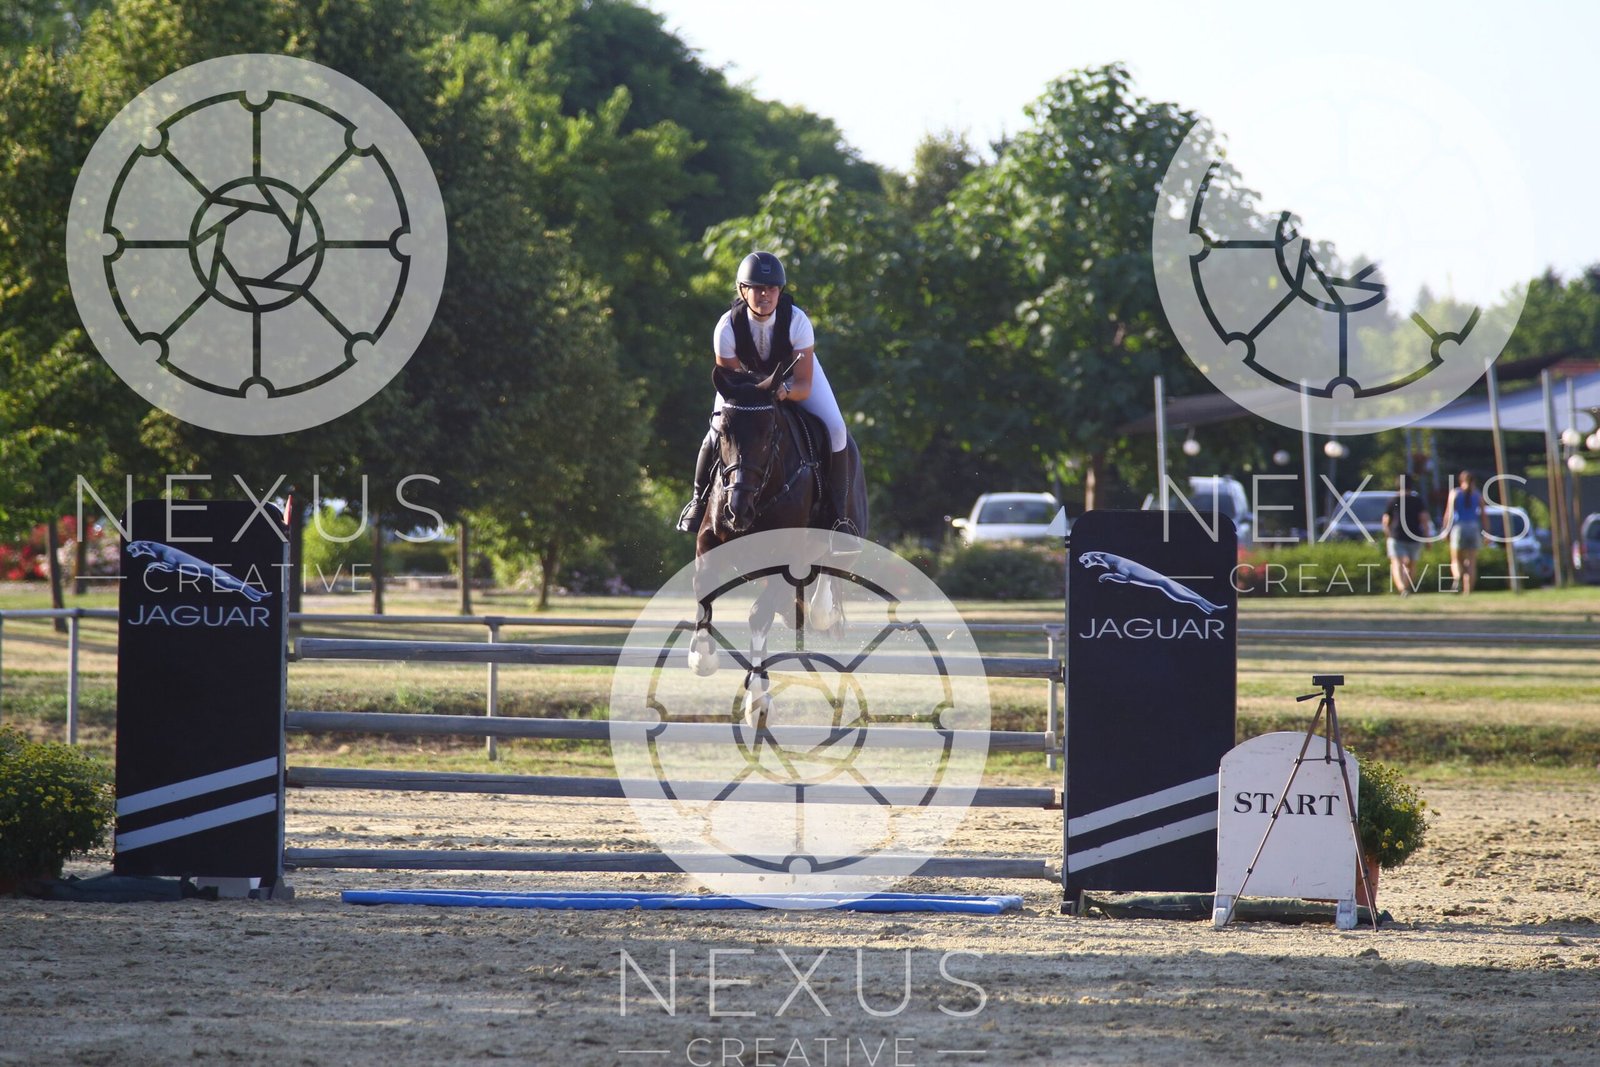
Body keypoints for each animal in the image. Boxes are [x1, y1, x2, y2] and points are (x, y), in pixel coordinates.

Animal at [685, 364, 869, 728]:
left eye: (770, 435)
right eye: (722, 435)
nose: (737, 511)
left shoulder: (789, 558)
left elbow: (758, 615)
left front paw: (757, 702)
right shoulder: (708, 544)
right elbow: (703, 589)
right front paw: (702, 659)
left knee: (827, 571)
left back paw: (822, 613)